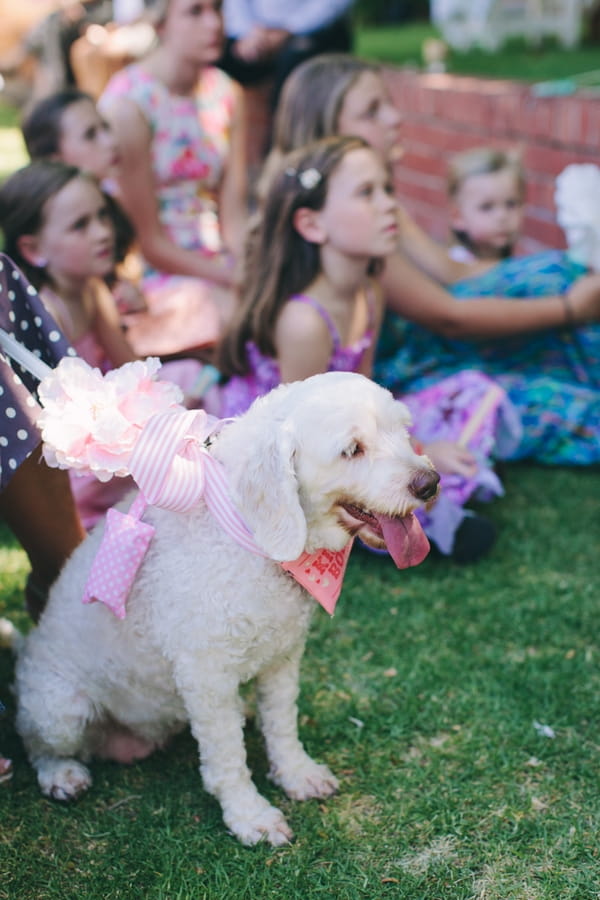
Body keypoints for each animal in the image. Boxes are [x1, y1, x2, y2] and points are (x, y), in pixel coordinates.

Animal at [14, 370, 436, 844]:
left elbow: (282, 724)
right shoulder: (207, 678)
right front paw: (250, 815)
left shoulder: (283, 659)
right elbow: (228, 759)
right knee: (38, 746)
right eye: (352, 450)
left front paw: (296, 774)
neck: (250, 536)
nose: (431, 483)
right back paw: (61, 775)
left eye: (402, 430)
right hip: (58, 710)